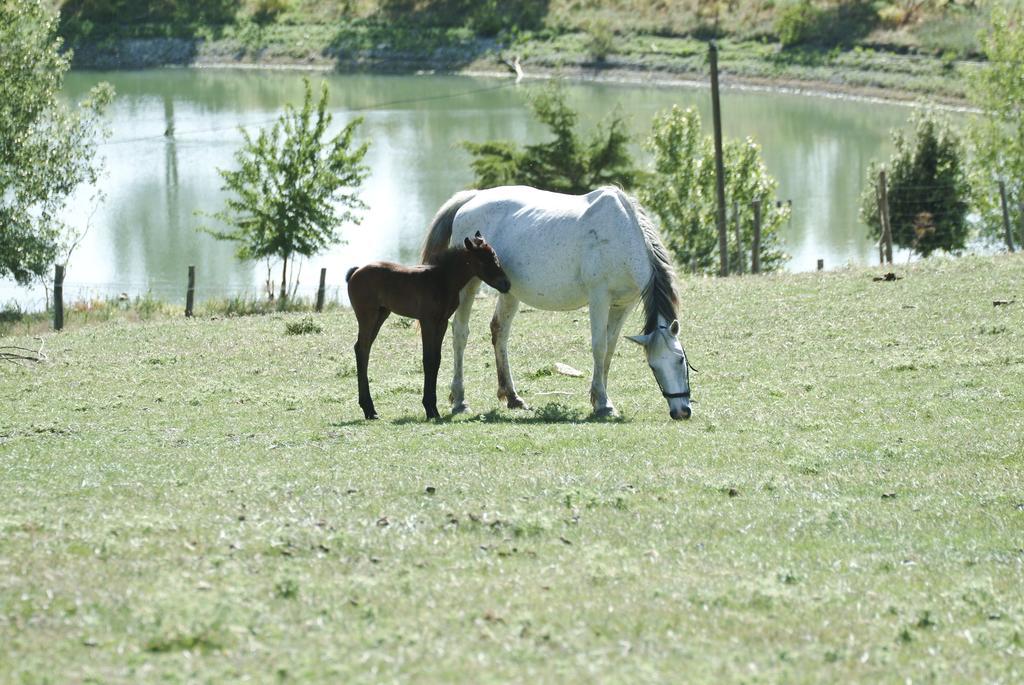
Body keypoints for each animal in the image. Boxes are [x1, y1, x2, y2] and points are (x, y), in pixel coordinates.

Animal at [346, 232, 509, 419]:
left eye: (494, 257)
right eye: (483, 260)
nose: (506, 284)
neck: (442, 279)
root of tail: (355, 271)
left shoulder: (442, 322)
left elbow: (436, 360)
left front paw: (433, 408)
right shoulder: (428, 322)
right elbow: (428, 360)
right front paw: (430, 408)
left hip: (381, 315)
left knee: (362, 349)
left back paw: (369, 408)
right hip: (367, 316)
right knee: (362, 349)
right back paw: (369, 409)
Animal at [417, 187, 696, 421]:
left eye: (680, 360)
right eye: (653, 365)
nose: (681, 411)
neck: (622, 235)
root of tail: (471, 198)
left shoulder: (622, 305)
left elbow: (609, 349)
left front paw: (599, 397)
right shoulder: (599, 298)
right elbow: (599, 346)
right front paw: (603, 404)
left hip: (509, 292)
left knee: (500, 332)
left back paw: (512, 397)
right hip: (470, 286)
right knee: (460, 333)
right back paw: (460, 400)